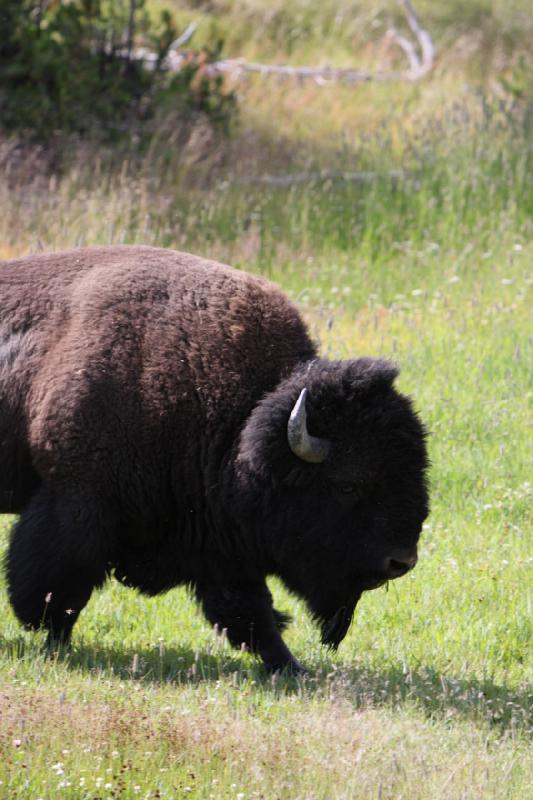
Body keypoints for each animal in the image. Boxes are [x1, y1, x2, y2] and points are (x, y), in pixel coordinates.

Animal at [0, 247, 428, 672]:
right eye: (348, 484)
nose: (401, 562)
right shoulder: (76, 503)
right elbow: (58, 590)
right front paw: (55, 643)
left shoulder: (220, 539)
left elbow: (248, 610)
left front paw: (289, 666)